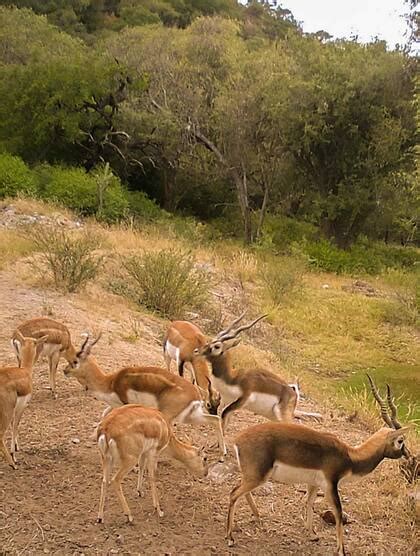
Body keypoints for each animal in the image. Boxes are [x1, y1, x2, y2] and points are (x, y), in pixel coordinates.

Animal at [0, 328, 47, 466]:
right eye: (36, 343)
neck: (25, 372)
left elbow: (13, 425)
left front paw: (16, 446)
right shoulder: (21, 407)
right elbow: (16, 425)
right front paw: (13, 453)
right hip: (6, 412)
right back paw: (12, 463)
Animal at [64, 332, 226, 458]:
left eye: (75, 361)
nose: (65, 371)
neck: (111, 382)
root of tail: (196, 394)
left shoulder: (125, 404)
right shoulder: (116, 405)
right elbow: (105, 413)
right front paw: (93, 436)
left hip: (168, 416)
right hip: (189, 416)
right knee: (215, 419)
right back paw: (223, 452)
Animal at [194, 310, 322, 432]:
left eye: (217, 346)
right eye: (211, 341)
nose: (196, 351)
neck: (233, 379)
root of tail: (294, 394)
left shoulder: (243, 399)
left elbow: (223, 417)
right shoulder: (227, 400)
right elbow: (224, 422)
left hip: (281, 415)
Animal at [228, 376, 412, 552]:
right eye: (401, 440)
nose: (407, 455)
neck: (351, 456)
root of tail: (238, 439)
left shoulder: (313, 483)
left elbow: (308, 502)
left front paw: (311, 534)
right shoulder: (330, 485)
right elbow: (338, 513)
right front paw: (341, 550)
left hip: (254, 475)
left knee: (241, 491)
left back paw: (257, 517)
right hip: (258, 476)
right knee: (234, 493)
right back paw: (230, 538)